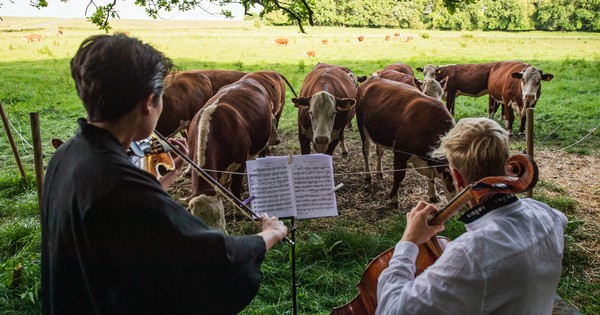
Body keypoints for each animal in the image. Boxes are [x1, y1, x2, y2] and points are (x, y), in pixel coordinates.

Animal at [356, 76, 454, 205]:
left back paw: (379, 172)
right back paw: (368, 175)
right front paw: (394, 199)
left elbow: (431, 177)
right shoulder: (400, 152)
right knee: (366, 152)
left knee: (379, 152)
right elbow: (399, 175)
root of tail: (372, 78)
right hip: (363, 129)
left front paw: (433, 194)